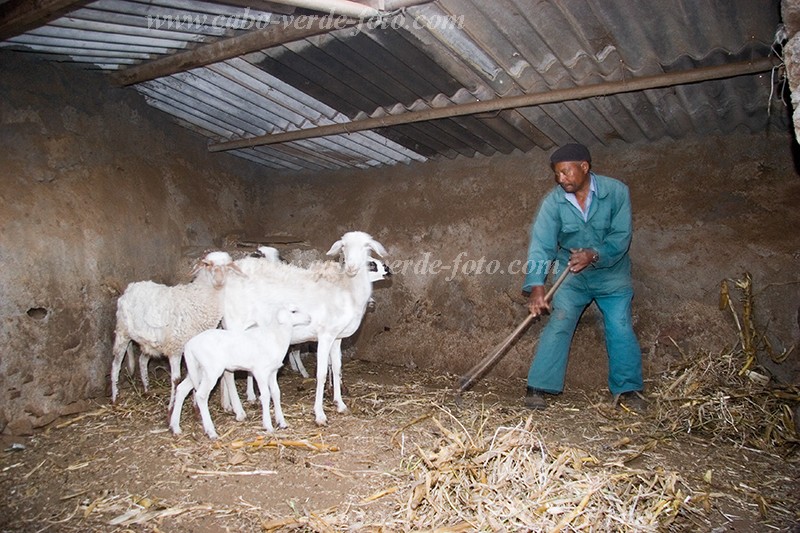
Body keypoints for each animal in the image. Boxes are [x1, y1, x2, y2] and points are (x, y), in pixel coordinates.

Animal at [108, 251, 244, 406]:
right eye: (207, 264)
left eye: (227, 266)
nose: (219, 280)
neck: (199, 298)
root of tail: (130, 288)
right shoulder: (176, 348)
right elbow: (176, 379)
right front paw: (172, 405)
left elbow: (194, 376)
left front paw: (194, 403)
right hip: (122, 333)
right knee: (115, 366)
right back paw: (115, 397)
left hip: (150, 342)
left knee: (142, 361)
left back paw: (147, 389)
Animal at [169, 306, 310, 438]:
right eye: (293, 311)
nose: (309, 318)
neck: (275, 336)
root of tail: (189, 346)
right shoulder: (260, 372)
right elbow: (265, 395)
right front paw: (268, 426)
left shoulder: (273, 372)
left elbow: (276, 393)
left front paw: (282, 422)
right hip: (211, 370)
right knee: (201, 395)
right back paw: (211, 432)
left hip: (198, 370)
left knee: (181, 389)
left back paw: (175, 427)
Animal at [220, 231, 386, 426]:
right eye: (344, 247)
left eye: (366, 247)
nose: (352, 267)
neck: (346, 289)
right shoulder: (325, 335)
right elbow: (321, 374)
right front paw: (320, 414)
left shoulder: (337, 338)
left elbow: (337, 368)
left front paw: (340, 404)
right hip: (236, 326)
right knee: (228, 373)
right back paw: (239, 411)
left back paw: (227, 405)